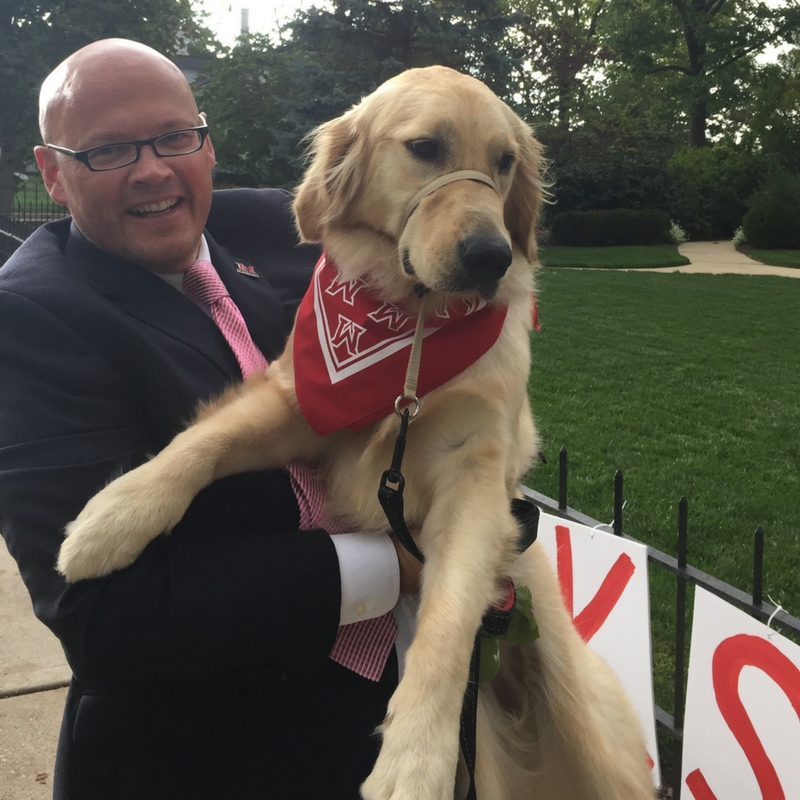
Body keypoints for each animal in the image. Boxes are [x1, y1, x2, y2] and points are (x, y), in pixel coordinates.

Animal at [56, 65, 656, 796]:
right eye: (425, 148)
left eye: (505, 161)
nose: (491, 256)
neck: (410, 326)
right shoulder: (303, 407)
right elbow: (202, 442)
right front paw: (110, 518)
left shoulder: (474, 473)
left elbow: (449, 620)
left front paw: (415, 760)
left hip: (589, 736)